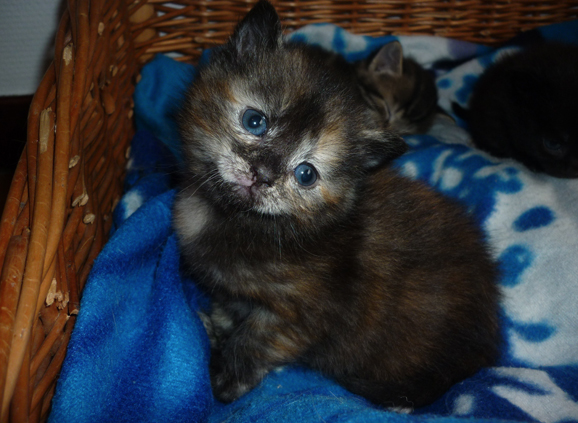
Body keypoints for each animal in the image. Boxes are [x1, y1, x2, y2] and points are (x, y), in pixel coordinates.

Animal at [173, 0, 498, 410]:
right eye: (254, 121)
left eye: (306, 174)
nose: (262, 174)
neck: (232, 217)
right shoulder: (226, 291)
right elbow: (226, 310)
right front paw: (216, 328)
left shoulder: (299, 315)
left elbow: (251, 345)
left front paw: (223, 382)